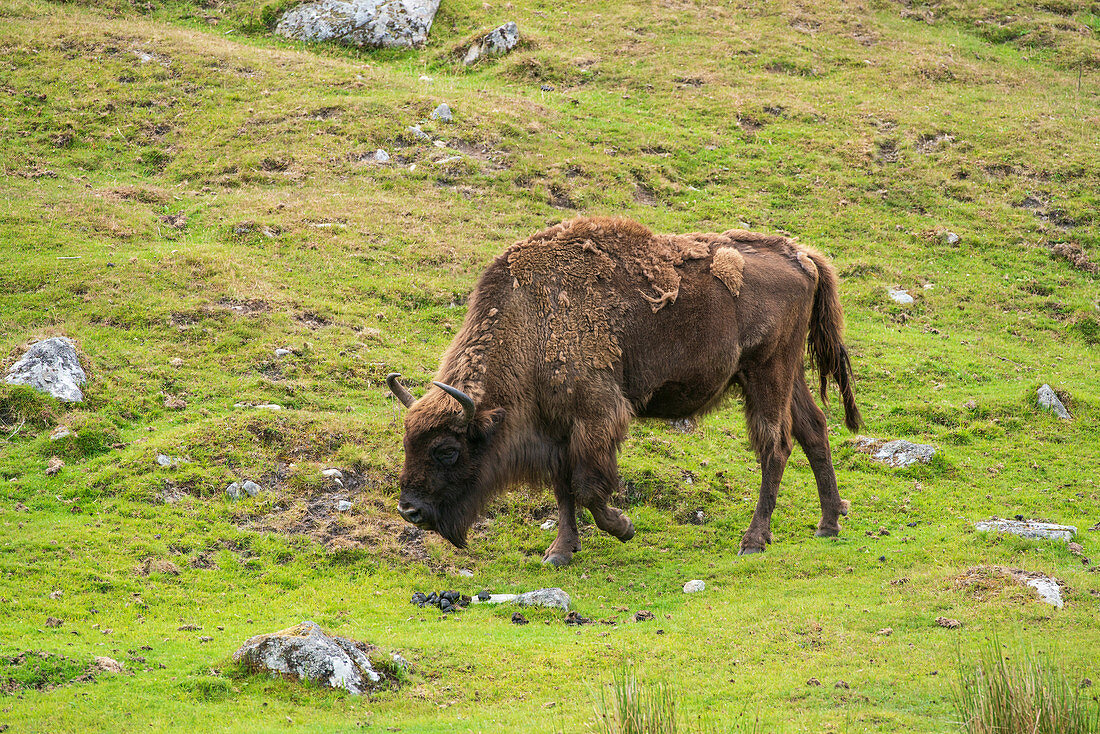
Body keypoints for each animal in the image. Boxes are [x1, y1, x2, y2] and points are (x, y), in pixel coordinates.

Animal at [387, 215, 858, 567]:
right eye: (408, 443)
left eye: (447, 450)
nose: (409, 511)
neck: (531, 320)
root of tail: (801, 255)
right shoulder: (558, 430)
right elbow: (564, 489)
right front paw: (559, 553)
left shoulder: (597, 417)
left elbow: (589, 487)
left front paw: (624, 528)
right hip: (785, 374)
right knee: (814, 430)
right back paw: (829, 524)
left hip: (766, 372)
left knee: (775, 445)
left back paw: (754, 541)